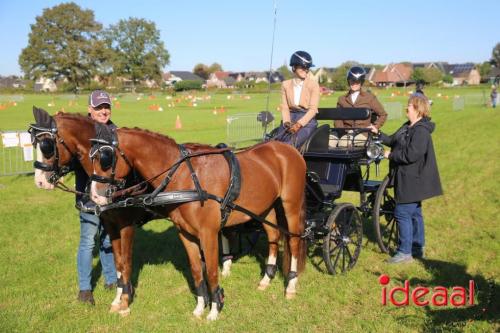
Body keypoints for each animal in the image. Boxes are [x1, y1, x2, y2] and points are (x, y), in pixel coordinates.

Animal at [91, 123, 306, 318]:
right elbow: (196, 271)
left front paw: (215, 309)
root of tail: (288, 149)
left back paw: (291, 286)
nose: (94, 196)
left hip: (291, 205)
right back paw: (266, 279)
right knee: (273, 235)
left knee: (294, 240)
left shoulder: (208, 233)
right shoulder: (185, 233)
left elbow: (210, 271)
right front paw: (200, 308)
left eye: (105, 158)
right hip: (265, 208)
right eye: (90, 157)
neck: (185, 176)